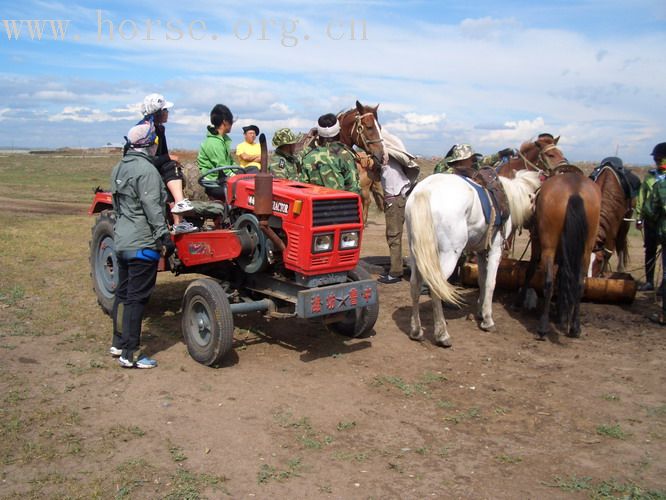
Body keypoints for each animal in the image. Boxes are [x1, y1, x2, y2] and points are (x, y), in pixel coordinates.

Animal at [404, 170, 540, 346]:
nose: (535, 228)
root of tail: (424, 191)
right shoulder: (495, 249)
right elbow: (490, 283)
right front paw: (488, 320)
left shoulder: (481, 252)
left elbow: (481, 281)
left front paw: (481, 312)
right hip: (448, 255)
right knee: (436, 288)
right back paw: (442, 335)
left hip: (416, 253)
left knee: (415, 285)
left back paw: (416, 331)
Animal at [520, 173, 600, 340]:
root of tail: (574, 190)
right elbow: (563, 279)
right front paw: (562, 314)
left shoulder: (536, 245)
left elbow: (530, 270)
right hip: (586, 250)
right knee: (579, 285)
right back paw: (575, 327)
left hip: (548, 247)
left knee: (548, 282)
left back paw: (543, 327)